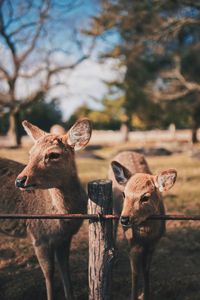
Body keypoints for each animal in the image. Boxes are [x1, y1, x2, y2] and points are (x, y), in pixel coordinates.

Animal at [0, 118, 92, 300]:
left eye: (54, 154)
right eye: (30, 153)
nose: (20, 180)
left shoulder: (65, 237)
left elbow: (65, 269)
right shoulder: (38, 235)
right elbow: (49, 273)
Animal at [109, 151, 177, 300]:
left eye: (145, 197)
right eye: (124, 194)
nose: (125, 219)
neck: (146, 236)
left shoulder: (153, 244)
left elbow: (146, 269)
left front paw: (146, 294)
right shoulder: (133, 244)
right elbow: (135, 272)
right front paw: (135, 295)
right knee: (113, 224)